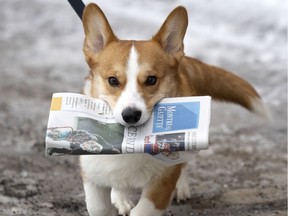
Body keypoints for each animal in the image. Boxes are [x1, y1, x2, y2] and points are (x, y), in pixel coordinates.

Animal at [79, 3, 268, 216]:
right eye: (113, 80)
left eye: (151, 79)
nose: (131, 115)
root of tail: (185, 61)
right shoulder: (92, 174)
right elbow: (98, 206)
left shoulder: (162, 184)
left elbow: (143, 210)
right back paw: (121, 197)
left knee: (183, 166)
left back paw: (181, 188)